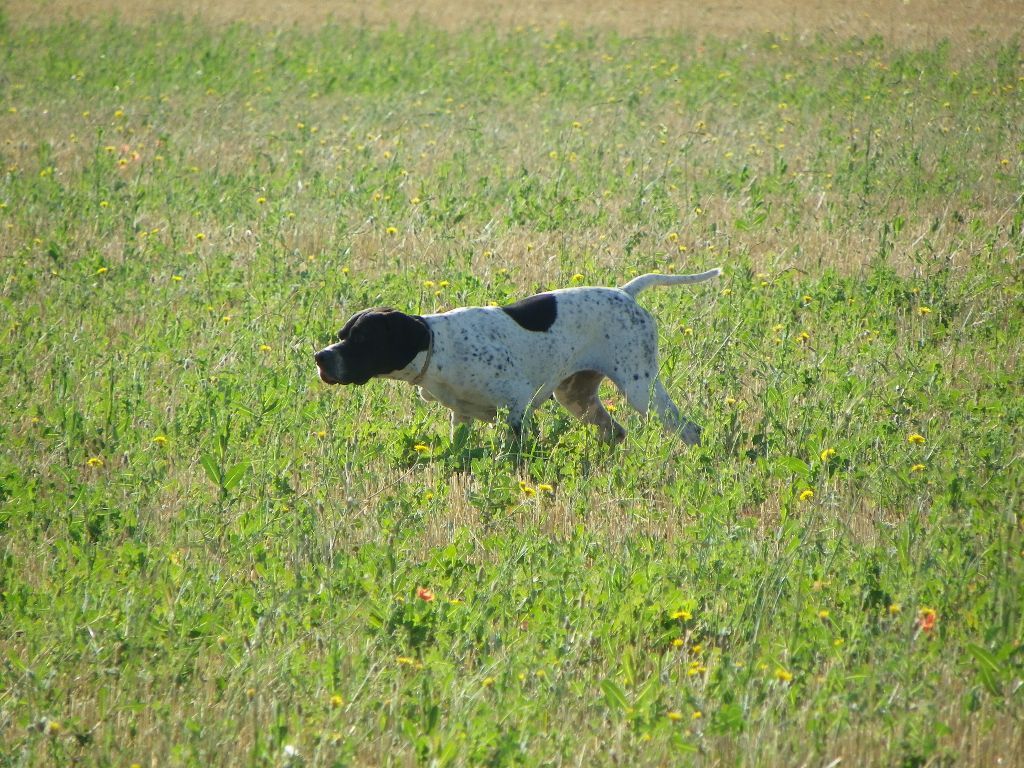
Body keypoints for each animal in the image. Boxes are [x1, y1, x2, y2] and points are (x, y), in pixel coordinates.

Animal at [311, 270, 720, 444]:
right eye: (342, 336)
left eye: (363, 339)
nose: (320, 357)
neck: (439, 348)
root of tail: (626, 291)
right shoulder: (461, 416)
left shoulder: (515, 406)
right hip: (575, 396)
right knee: (615, 432)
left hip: (640, 390)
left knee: (688, 430)